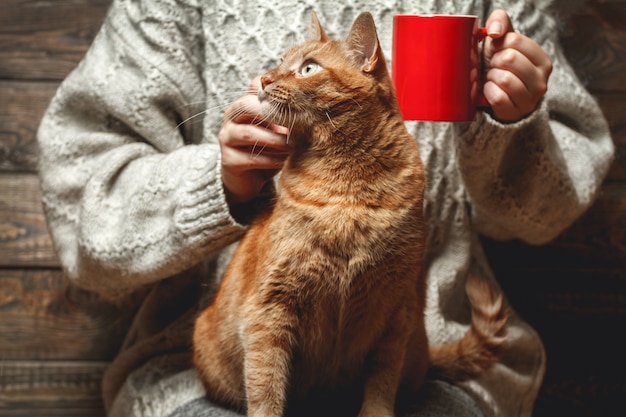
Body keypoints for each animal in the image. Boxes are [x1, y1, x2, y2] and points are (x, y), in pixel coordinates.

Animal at [193, 10, 504, 416]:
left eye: (308, 68)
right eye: (280, 61)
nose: (263, 79)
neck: (347, 191)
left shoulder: (396, 311)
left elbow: (381, 384)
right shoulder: (269, 309)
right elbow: (266, 386)